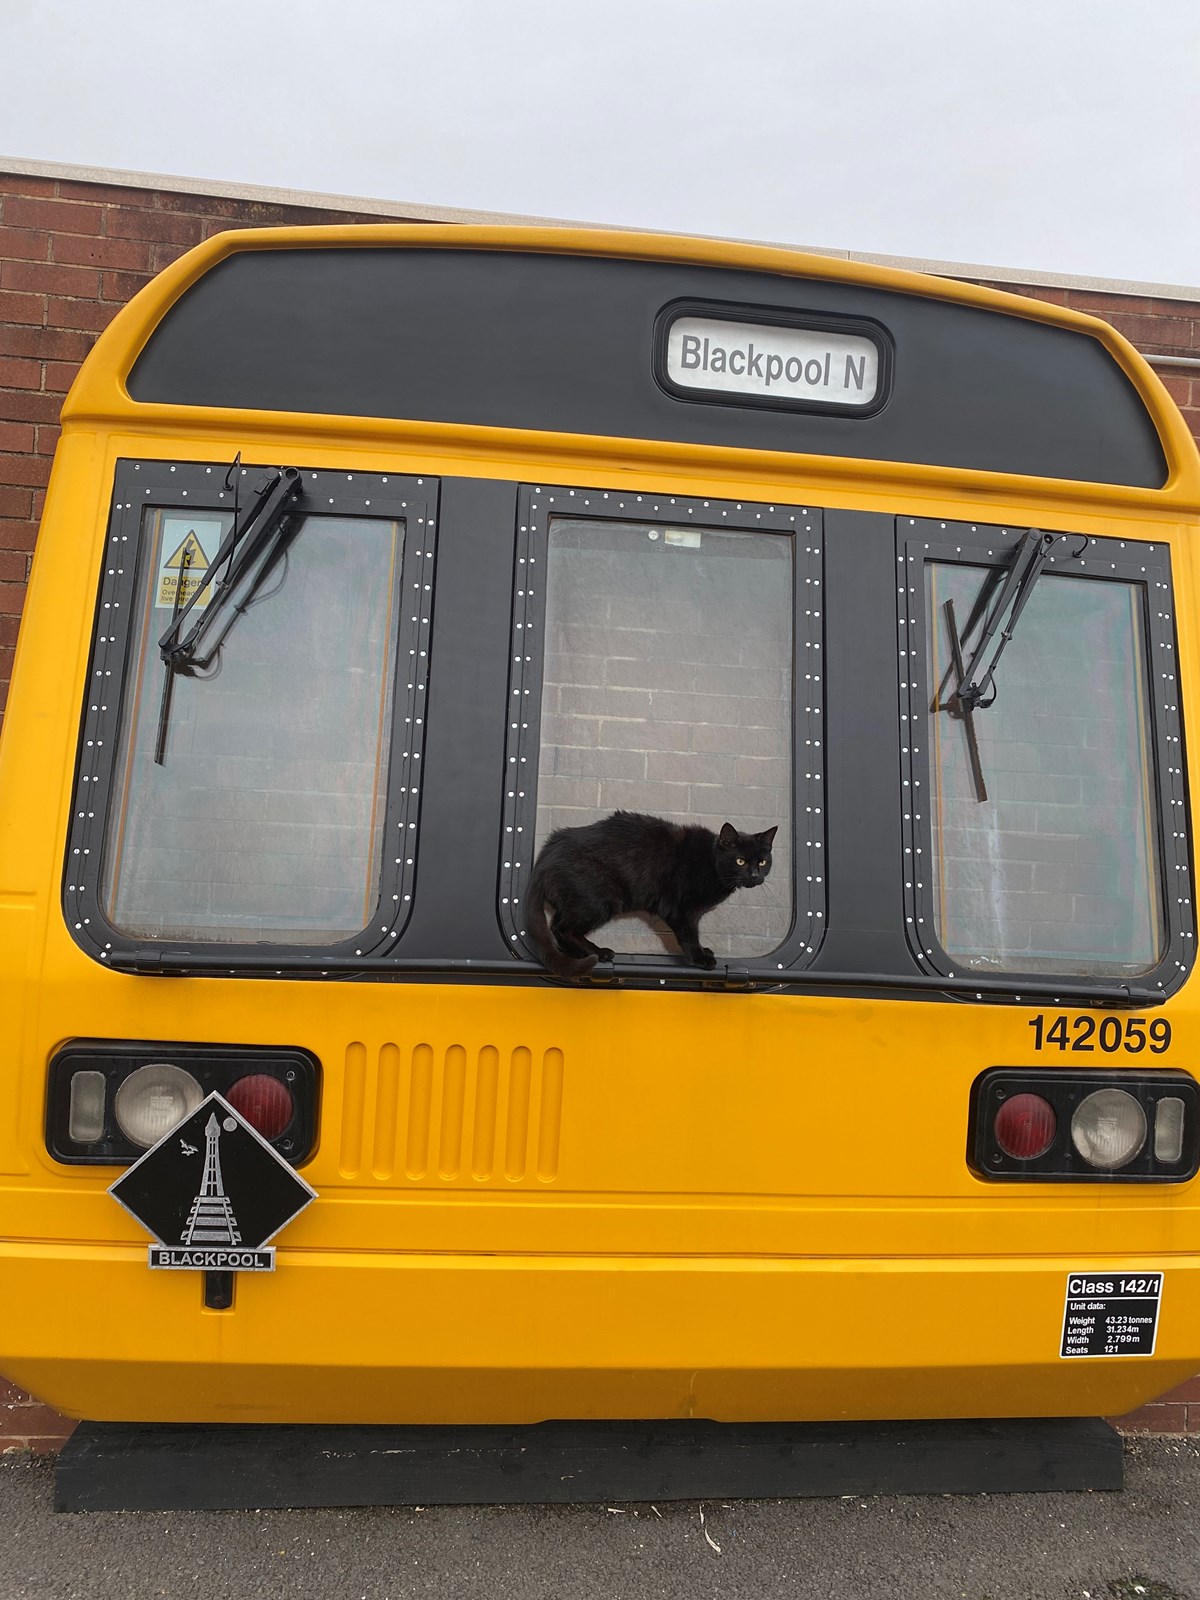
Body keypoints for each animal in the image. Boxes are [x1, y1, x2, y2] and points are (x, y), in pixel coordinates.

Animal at [524, 812, 780, 972]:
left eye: (763, 861)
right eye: (740, 861)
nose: (754, 875)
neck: (710, 861)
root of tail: (547, 853)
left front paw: (703, 950)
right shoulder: (681, 910)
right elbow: (689, 935)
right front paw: (700, 957)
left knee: (559, 926)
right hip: (600, 900)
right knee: (563, 928)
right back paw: (599, 953)